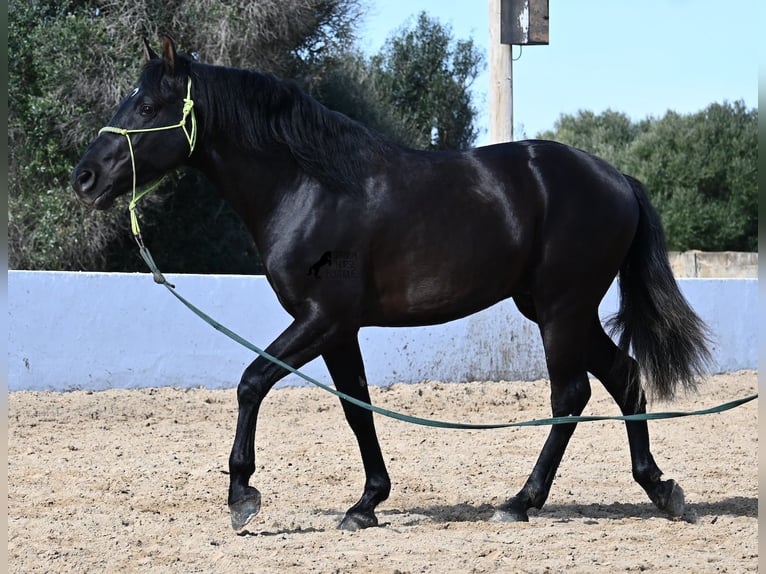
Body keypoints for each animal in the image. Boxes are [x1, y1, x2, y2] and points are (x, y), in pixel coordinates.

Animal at [73, 35, 712, 532]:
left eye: (147, 104)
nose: (86, 177)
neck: (309, 189)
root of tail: (617, 178)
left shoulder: (321, 318)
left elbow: (252, 382)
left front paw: (242, 498)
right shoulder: (338, 329)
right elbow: (356, 408)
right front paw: (366, 503)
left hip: (562, 309)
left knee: (571, 396)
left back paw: (520, 502)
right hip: (557, 310)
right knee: (623, 377)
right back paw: (661, 490)